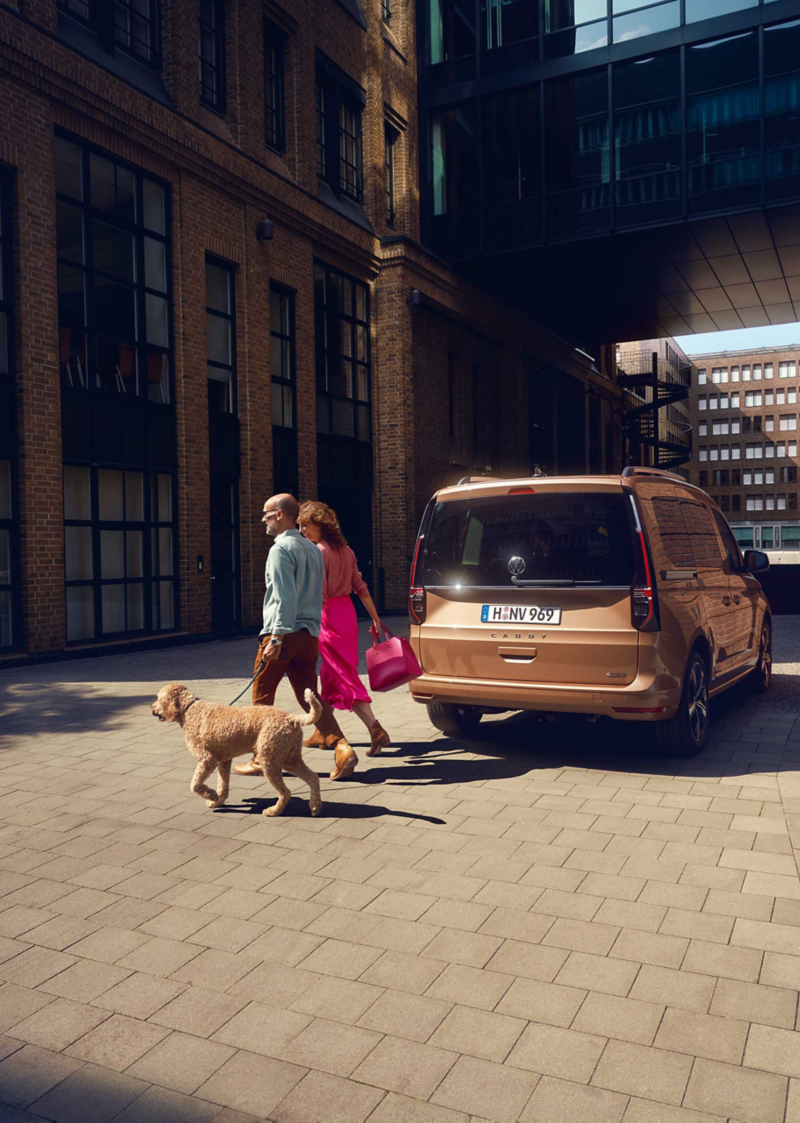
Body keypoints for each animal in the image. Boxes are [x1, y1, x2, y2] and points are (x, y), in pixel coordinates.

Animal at [152, 682, 321, 817]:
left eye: (159, 698)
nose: (152, 708)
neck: (189, 709)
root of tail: (293, 718)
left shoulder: (207, 760)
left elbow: (195, 785)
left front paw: (211, 795)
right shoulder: (224, 761)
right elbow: (223, 785)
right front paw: (217, 800)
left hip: (269, 759)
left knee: (285, 792)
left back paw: (274, 811)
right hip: (289, 758)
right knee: (313, 777)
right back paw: (315, 806)